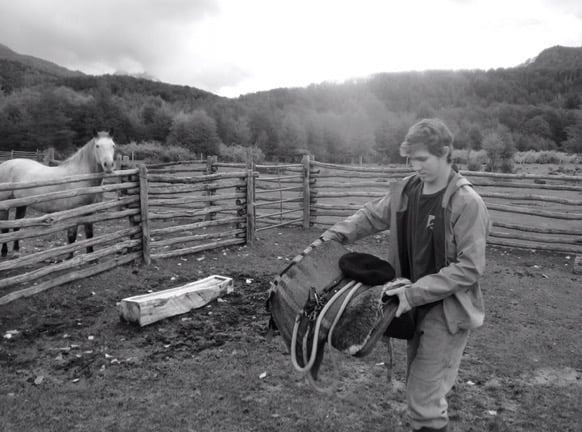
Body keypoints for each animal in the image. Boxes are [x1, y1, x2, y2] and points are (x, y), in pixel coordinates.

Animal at [0, 130, 116, 258]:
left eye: (113, 145)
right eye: (97, 146)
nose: (109, 165)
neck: (78, 177)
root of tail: (5, 164)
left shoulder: (89, 212)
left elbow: (90, 234)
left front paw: (92, 257)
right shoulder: (72, 213)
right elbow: (71, 236)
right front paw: (69, 257)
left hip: (21, 204)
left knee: (17, 227)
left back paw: (16, 250)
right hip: (5, 205)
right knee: (5, 230)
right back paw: (4, 252)